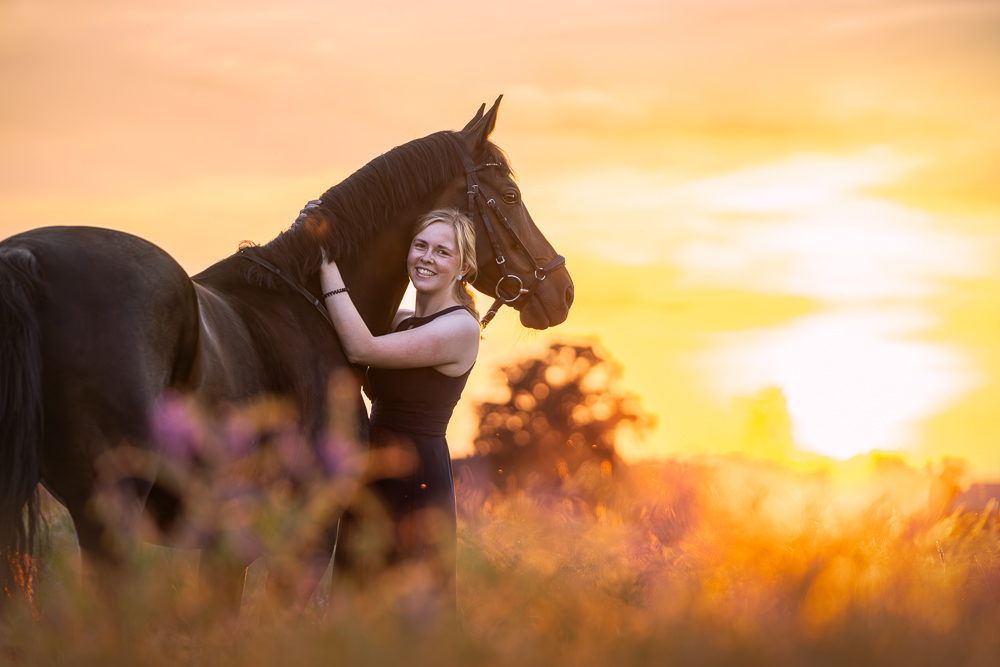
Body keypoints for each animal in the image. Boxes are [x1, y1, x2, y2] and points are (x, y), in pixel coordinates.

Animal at [0, 96, 574, 613]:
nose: (563, 290)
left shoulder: (224, 543)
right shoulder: (303, 535)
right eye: (511, 193)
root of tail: (26, 259)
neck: (309, 303)